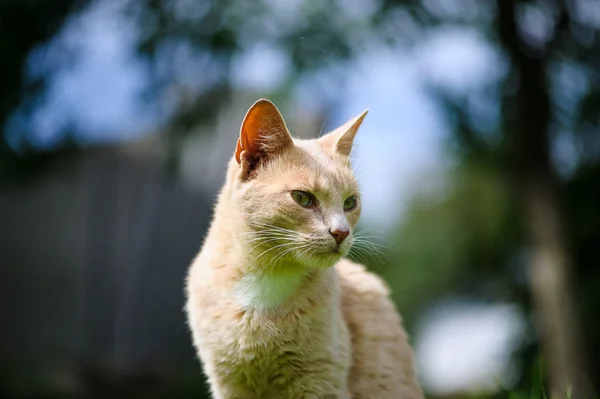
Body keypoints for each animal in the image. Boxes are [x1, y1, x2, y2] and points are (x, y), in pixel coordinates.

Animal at [185, 97, 424, 399]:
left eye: (350, 203)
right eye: (302, 198)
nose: (341, 232)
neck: (264, 283)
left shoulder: (320, 382)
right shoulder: (229, 385)